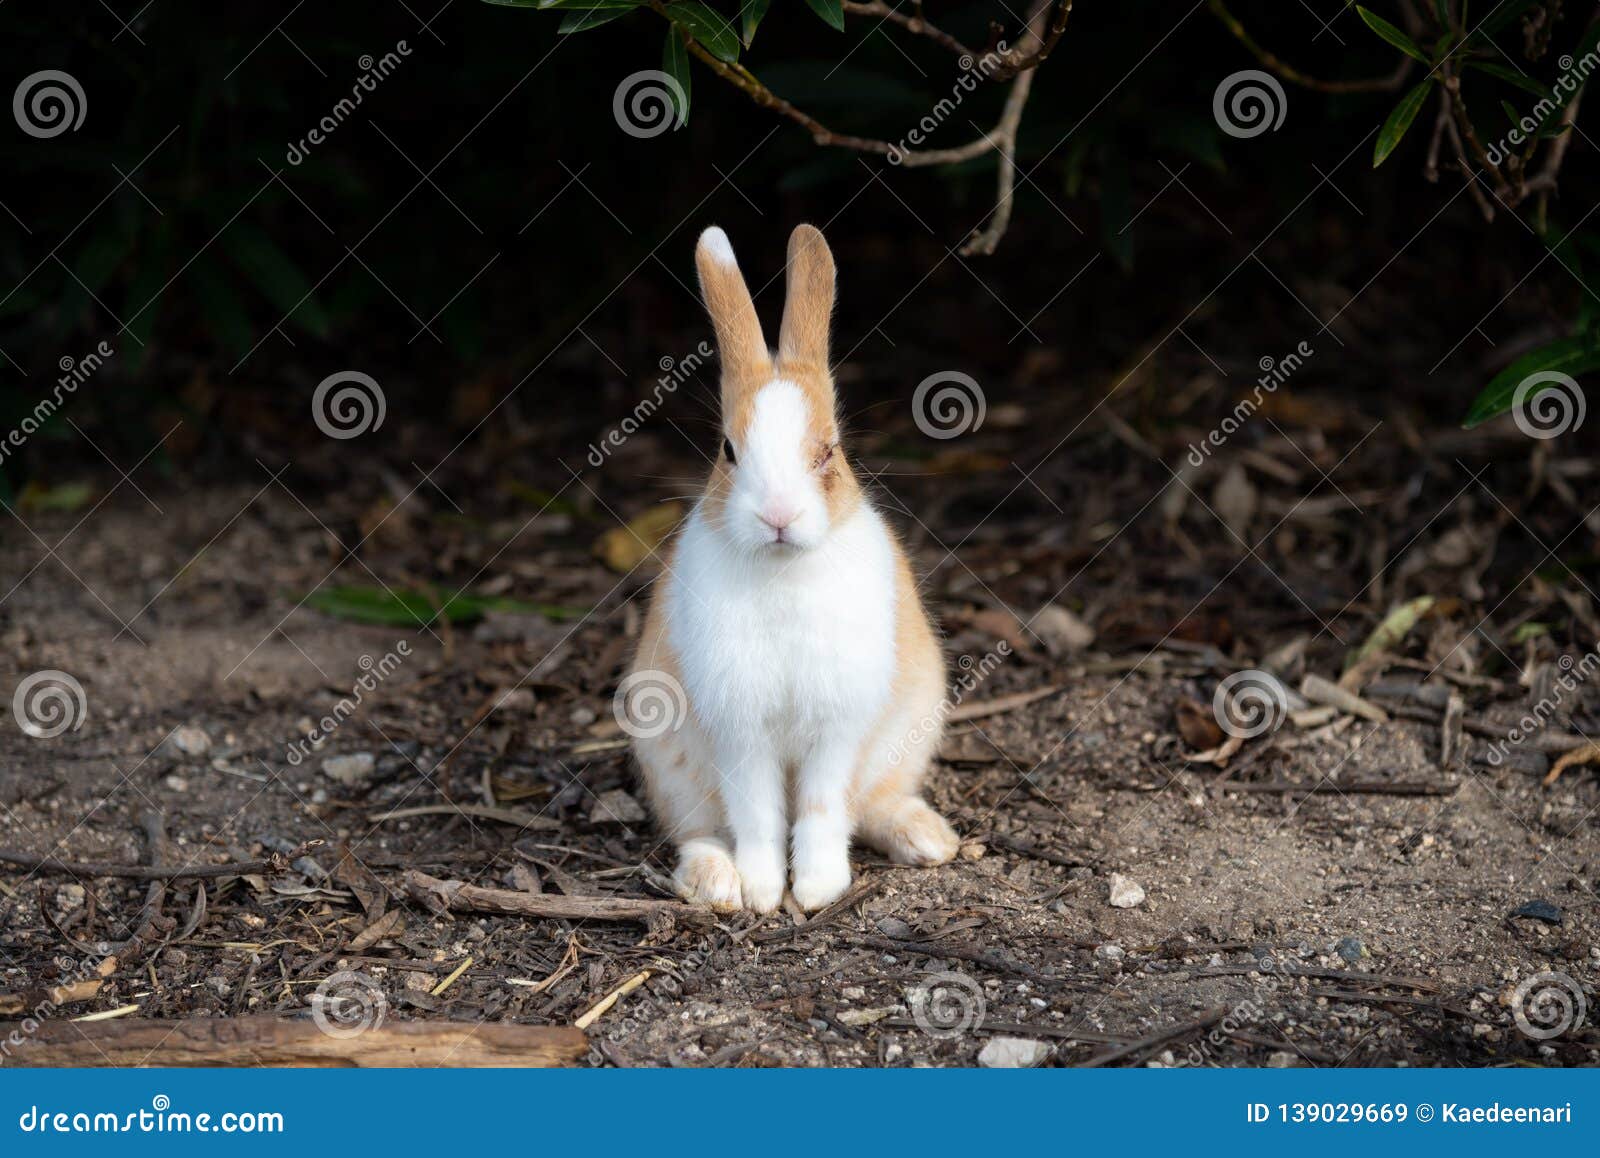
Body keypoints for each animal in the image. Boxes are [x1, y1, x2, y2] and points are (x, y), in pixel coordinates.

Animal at [624, 223, 953, 914]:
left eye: (830, 450)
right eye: (727, 450)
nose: (777, 515)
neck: (782, 569)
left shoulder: (838, 726)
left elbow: (824, 808)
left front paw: (820, 887)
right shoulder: (739, 732)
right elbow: (756, 815)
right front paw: (762, 890)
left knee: (872, 805)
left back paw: (928, 840)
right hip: (669, 766)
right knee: (697, 831)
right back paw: (716, 884)